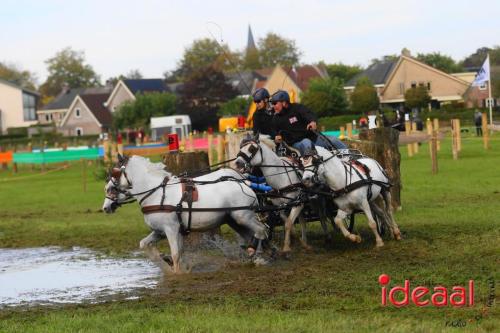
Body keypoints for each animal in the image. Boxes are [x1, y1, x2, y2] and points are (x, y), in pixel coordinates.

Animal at [101, 155, 270, 272]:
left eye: (115, 174)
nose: (106, 207)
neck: (156, 193)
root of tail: (244, 183)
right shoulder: (161, 231)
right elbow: (145, 244)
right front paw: (165, 262)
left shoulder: (171, 229)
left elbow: (176, 254)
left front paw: (177, 273)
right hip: (233, 220)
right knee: (250, 236)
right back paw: (255, 257)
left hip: (244, 216)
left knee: (261, 230)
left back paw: (260, 256)